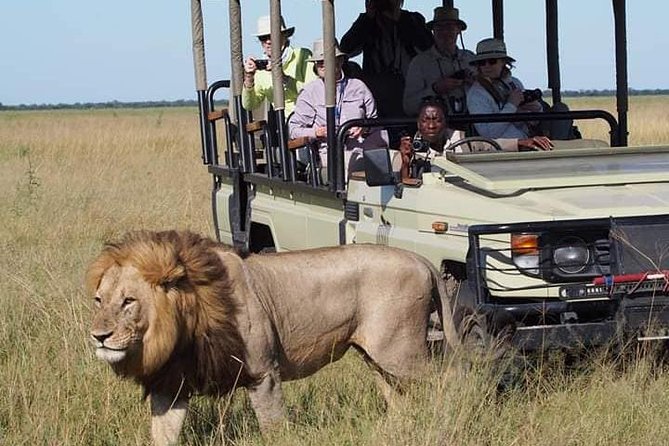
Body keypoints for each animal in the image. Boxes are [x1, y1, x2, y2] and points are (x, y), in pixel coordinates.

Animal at [86, 232, 456, 444]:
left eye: (129, 301)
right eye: (99, 300)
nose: (99, 336)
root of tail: (421, 259)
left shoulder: (263, 373)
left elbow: (274, 426)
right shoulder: (171, 384)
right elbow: (163, 434)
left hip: (402, 352)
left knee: (447, 382)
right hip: (379, 357)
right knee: (398, 397)